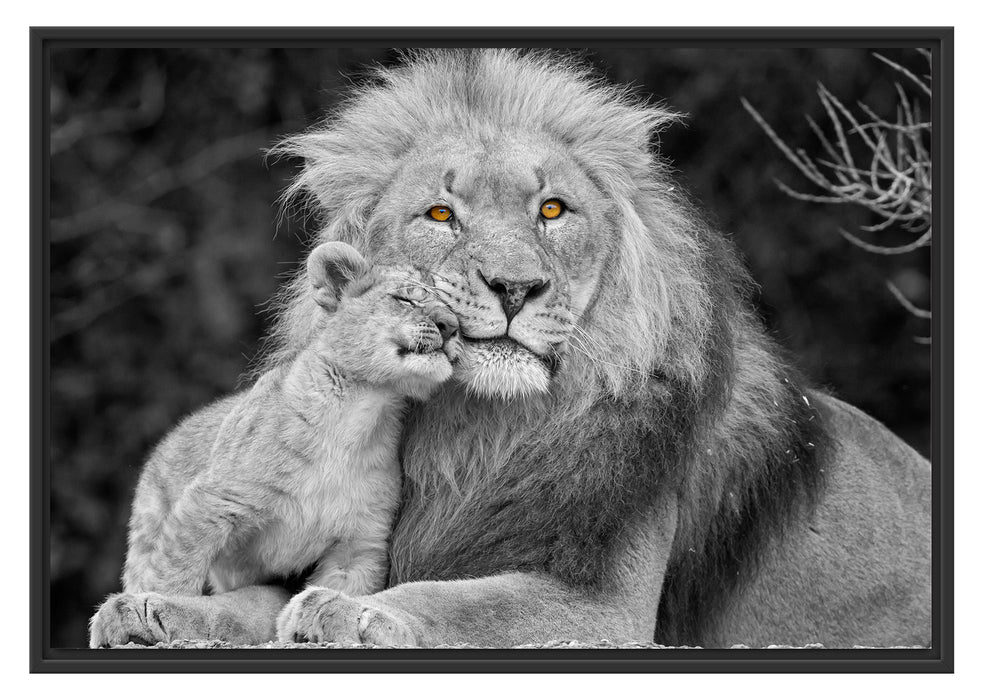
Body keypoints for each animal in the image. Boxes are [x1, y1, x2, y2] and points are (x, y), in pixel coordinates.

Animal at [88, 242, 461, 647]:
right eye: (405, 299)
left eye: (454, 309)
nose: (452, 327)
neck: (361, 413)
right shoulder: (212, 501)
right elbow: (175, 570)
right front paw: (158, 607)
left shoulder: (358, 543)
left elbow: (337, 591)